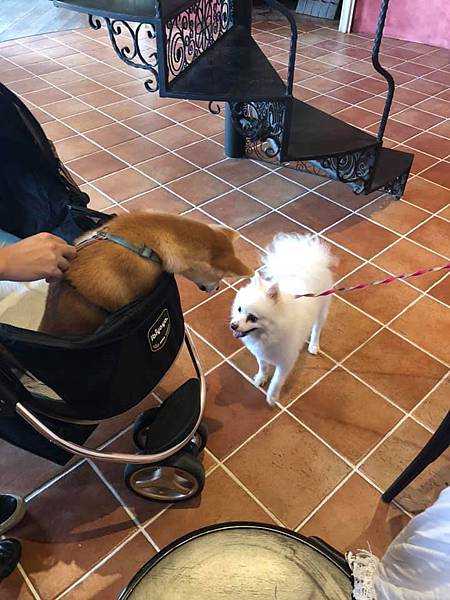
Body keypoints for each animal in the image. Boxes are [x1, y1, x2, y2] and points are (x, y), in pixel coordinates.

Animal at [230, 233, 335, 406]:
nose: (233, 325)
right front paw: (261, 378)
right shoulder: (261, 354)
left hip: (322, 311)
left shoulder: (285, 361)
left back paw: (314, 345)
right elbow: (263, 367)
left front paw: (272, 397)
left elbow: (277, 381)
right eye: (239, 309)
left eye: (252, 318)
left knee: (317, 329)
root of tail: (306, 265)